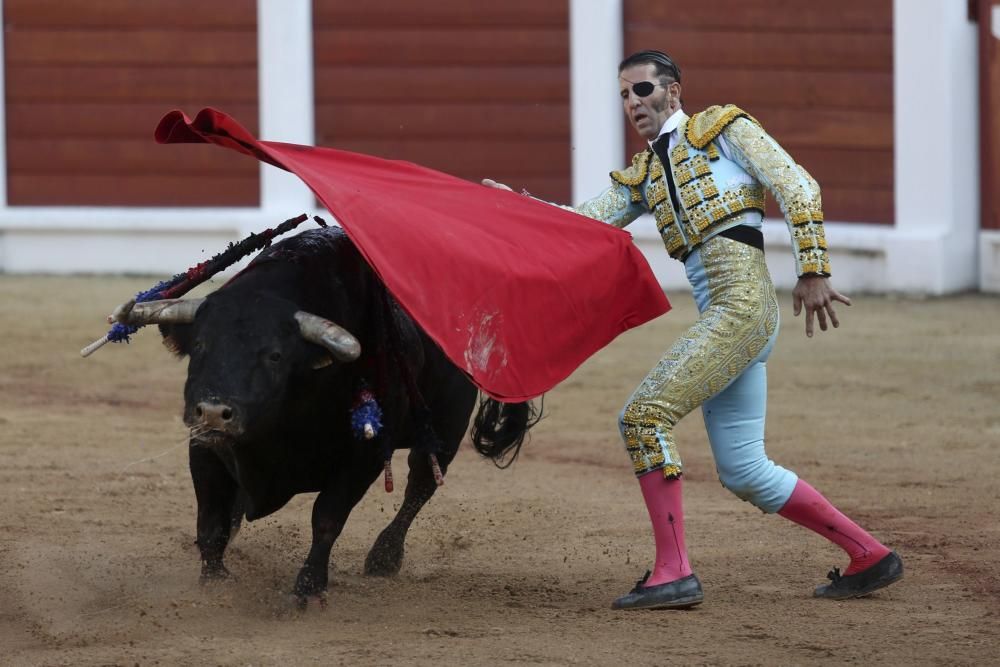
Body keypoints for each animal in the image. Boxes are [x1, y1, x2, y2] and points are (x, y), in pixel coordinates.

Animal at [121, 227, 536, 604]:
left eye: (275, 356)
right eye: (200, 345)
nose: (213, 412)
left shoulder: (363, 459)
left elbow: (327, 518)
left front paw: (307, 590)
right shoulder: (205, 447)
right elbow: (211, 520)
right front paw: (214, 580)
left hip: (445, 432)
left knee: (419, 487)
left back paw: (384, 558)